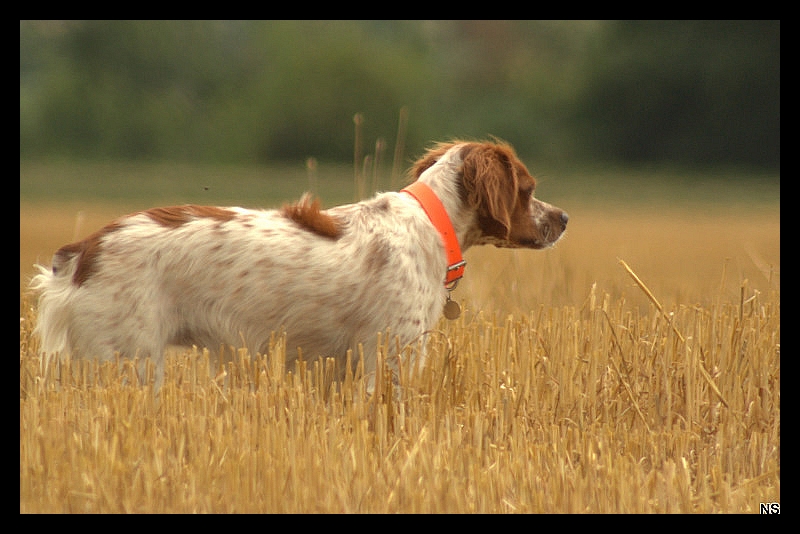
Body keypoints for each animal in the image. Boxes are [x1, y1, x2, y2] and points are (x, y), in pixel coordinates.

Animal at [31, 141, 568, 390]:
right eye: (527, 188)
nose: (563, 218)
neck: (431, 223)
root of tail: (84, 250)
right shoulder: (390, 356)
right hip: (128, 362)